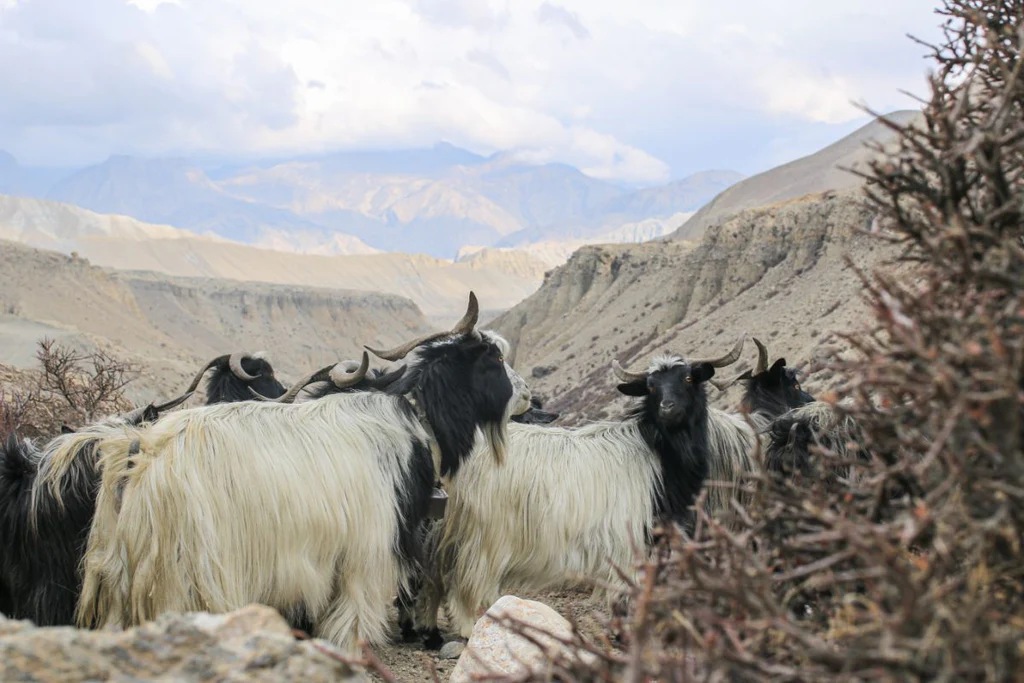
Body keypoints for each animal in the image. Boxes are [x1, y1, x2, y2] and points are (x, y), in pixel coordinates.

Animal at [74, 290, 528, 655]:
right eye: (495, 357)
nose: (526, 394)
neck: (413, 421)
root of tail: (142, 456)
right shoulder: (364, 556)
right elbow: (351, 623)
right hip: (190, 574)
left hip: (121, 574)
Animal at [409, 339, 745, 643]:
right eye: (650, 386)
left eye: (688, 378)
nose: (667, 408)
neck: (656, 454)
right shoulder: (628, 539)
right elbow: (626, 593)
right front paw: (625, 635)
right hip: (482, 533)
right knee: (464, 580)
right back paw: (468, 626)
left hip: (445, 527)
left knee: (433, 577)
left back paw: (428, 629)